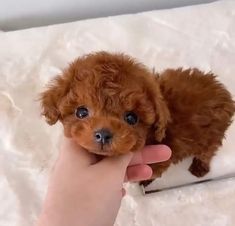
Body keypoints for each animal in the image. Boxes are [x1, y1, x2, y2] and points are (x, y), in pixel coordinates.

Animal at [39, 52, 234, 185]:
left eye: (132, 118)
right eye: (81, 112)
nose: (103, 135)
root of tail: (223, 92)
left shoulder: (163, 158)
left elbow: (153, 171)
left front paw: (144, 181)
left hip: (213, 135)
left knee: (207, 152)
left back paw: (199, 168)